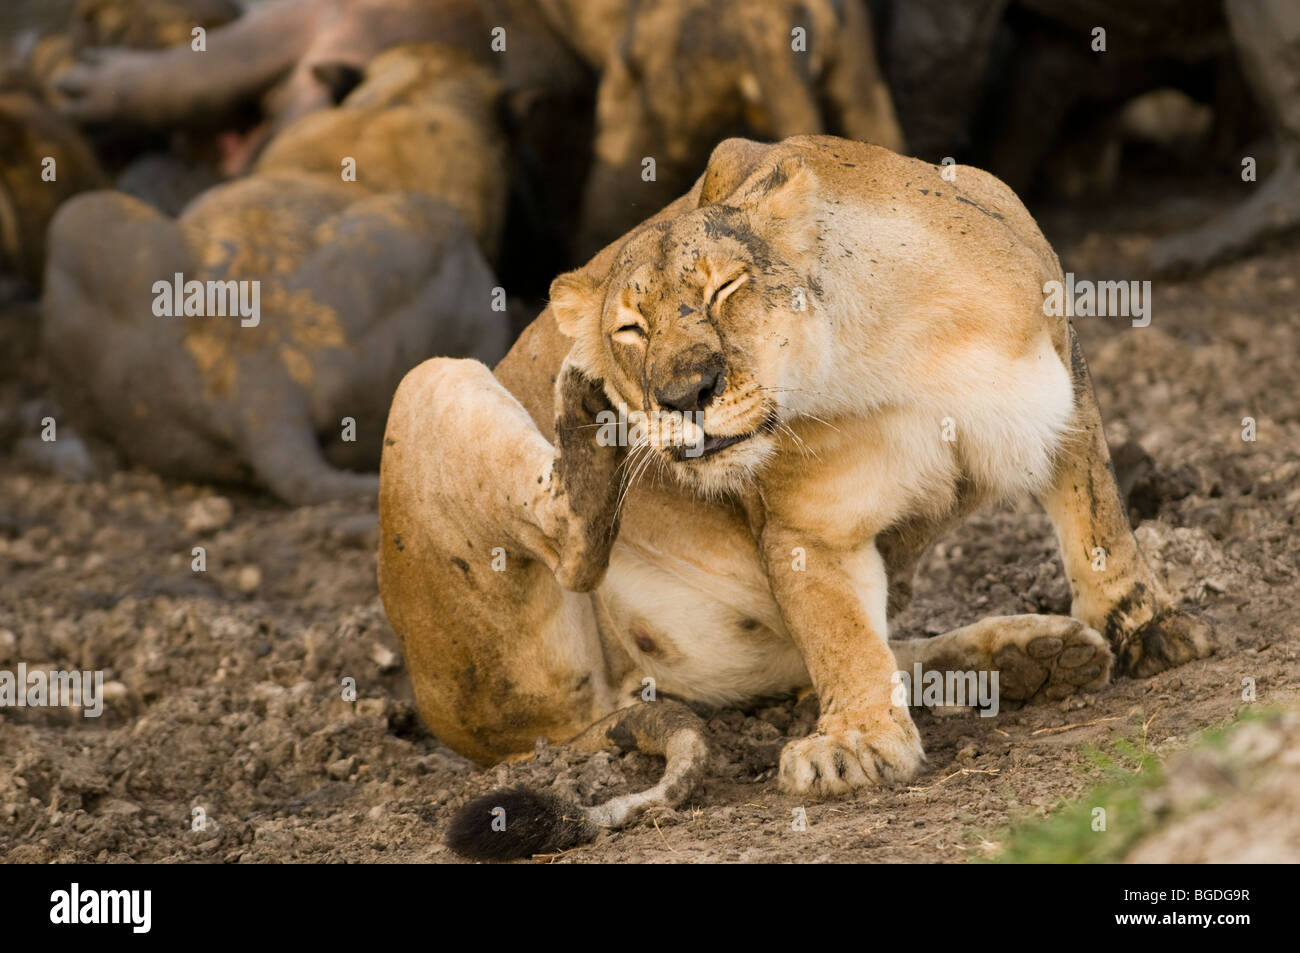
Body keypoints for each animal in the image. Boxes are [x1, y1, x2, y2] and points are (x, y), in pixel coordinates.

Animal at [379, 131, 1216, 852]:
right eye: (630, 330)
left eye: (725, 288)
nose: (682, 394)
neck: (871, 352)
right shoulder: (809, 529)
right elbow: (840, 634)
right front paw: (856, 743)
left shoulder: (1058, 384)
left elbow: (1097, 519)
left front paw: (1145, 626)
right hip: (430, 385)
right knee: (576, 544)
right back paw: (587, 416)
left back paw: (1028, 658)